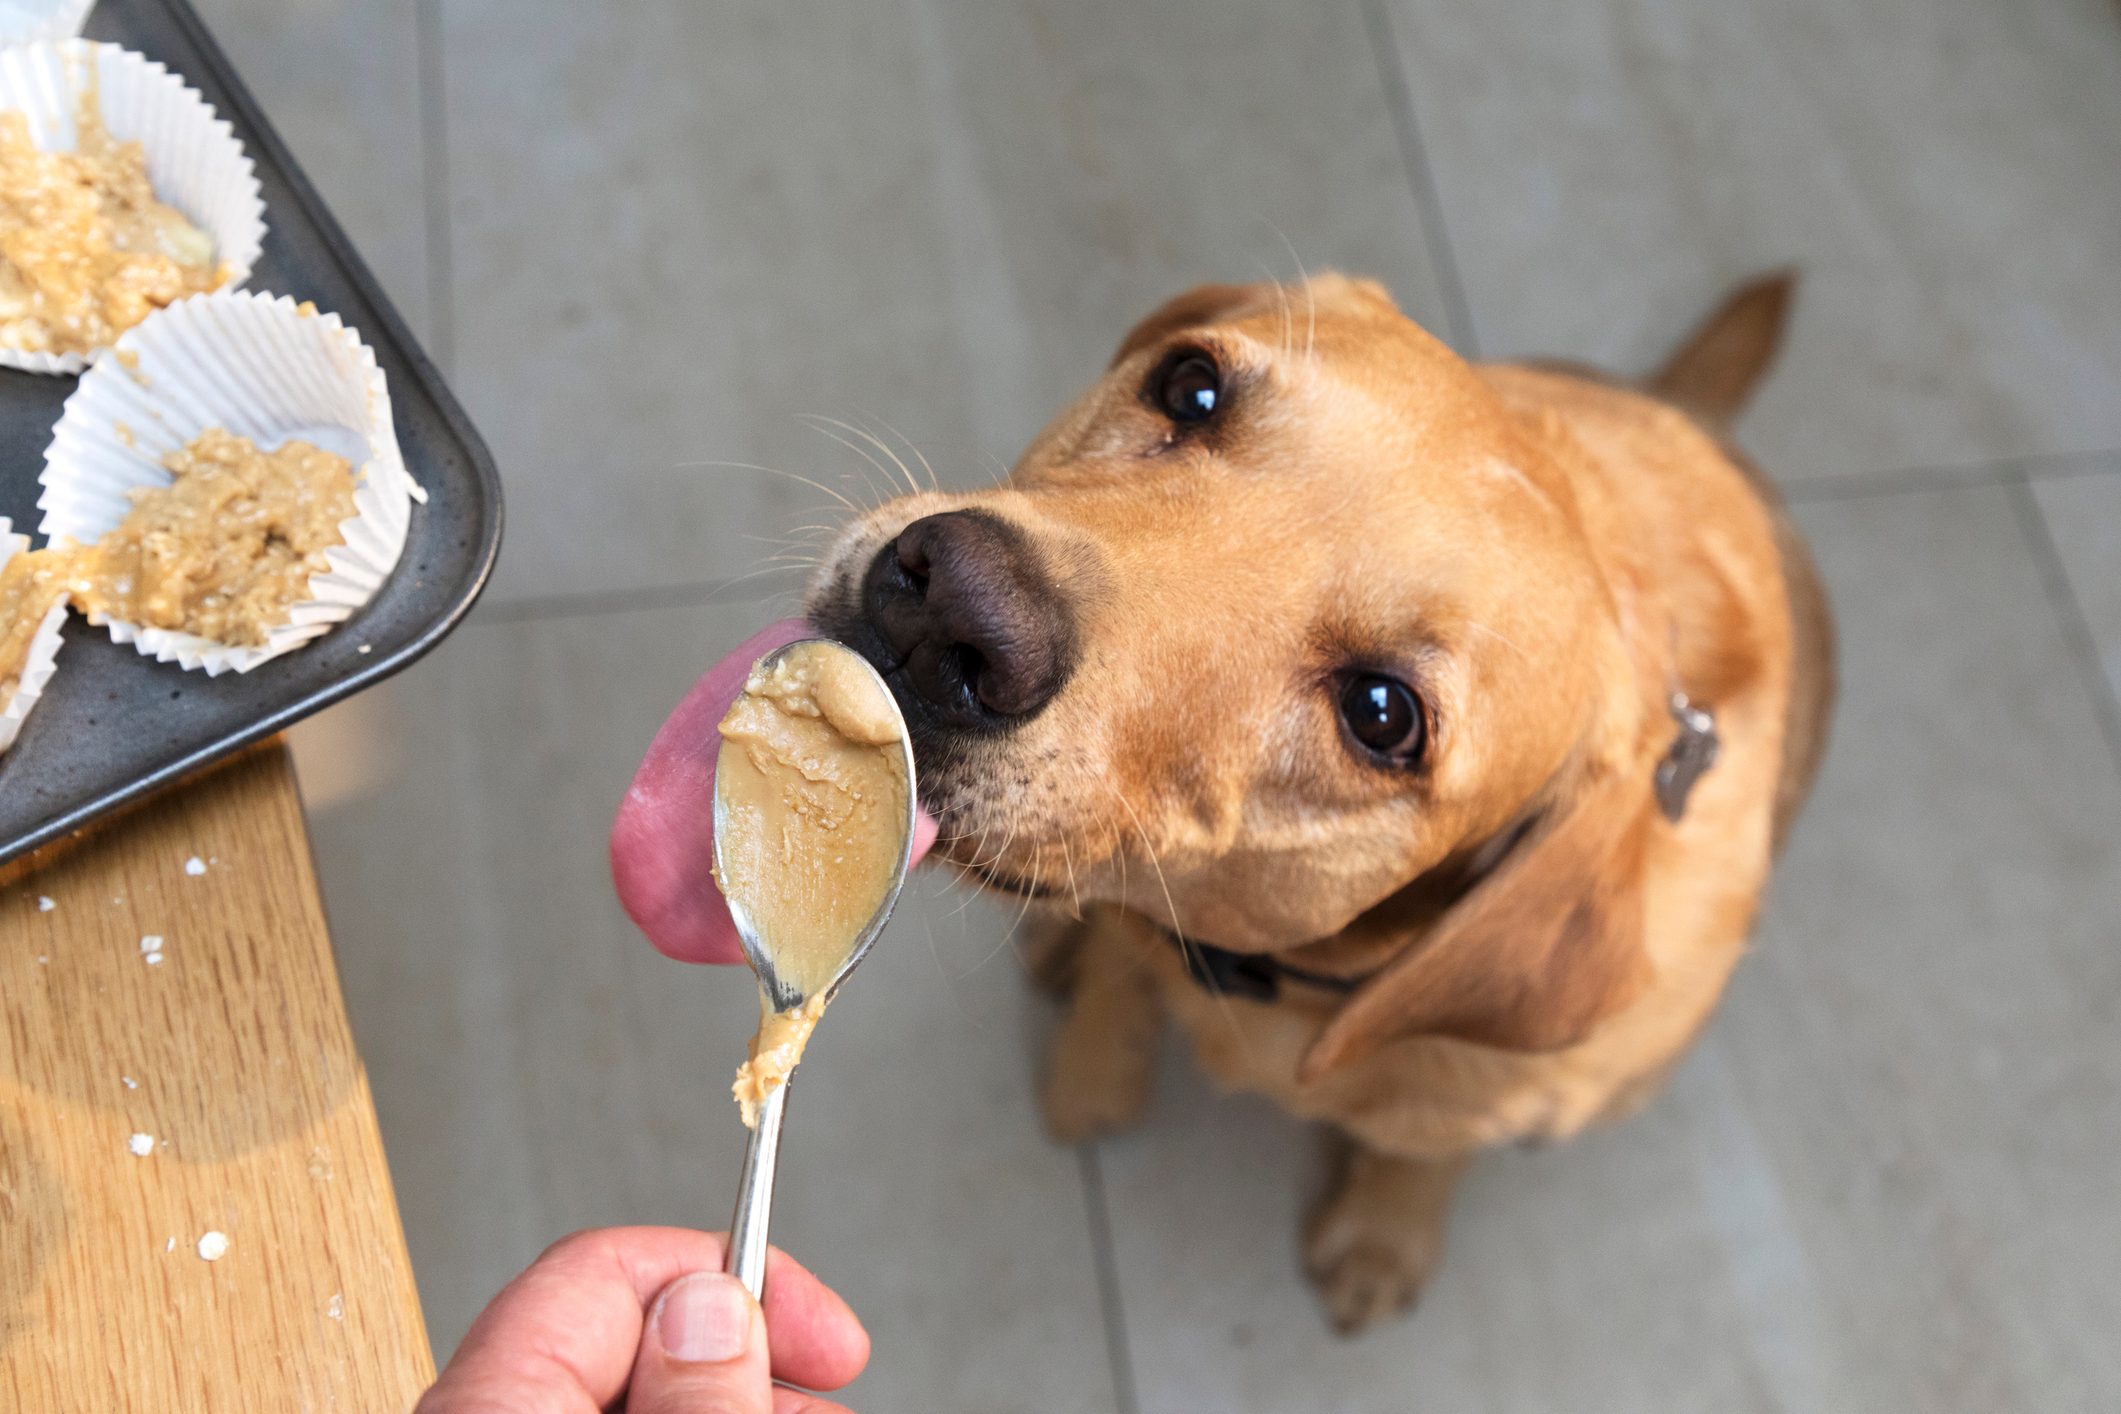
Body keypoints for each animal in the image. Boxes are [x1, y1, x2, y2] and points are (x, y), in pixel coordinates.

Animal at [801, 271, 1832, 1331]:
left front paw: (1382, 1234)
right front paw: (1095, 1062)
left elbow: (1423, 1149)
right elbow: (1119, 977)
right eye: (1191, 387)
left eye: (1381, 714)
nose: (949, 609)